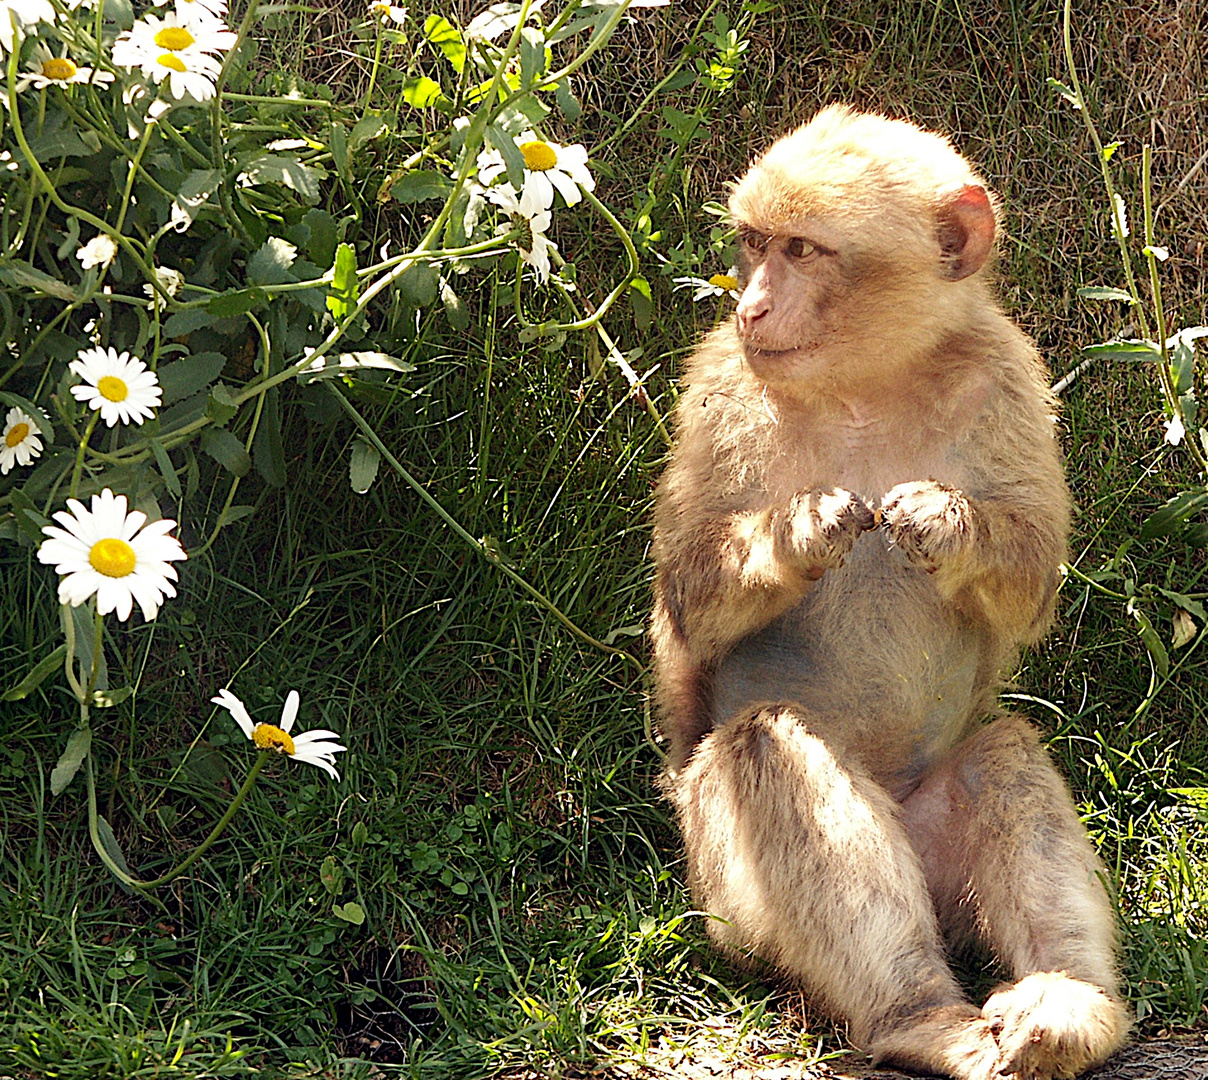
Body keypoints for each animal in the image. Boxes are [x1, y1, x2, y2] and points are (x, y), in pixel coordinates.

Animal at [652, 107, 1130, 1080]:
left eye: (801, 249)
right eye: (753, 245)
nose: (752, 306)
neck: (865, 382)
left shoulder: (1005, 373)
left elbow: (1030, 585)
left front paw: (950, 525)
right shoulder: (721, 386)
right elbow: (686, 599)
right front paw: (798, 530)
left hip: (941, 858)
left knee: (1000, 754)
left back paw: (1068, 1006)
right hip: (725, 899)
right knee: (765, 746)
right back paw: (917, 1014)